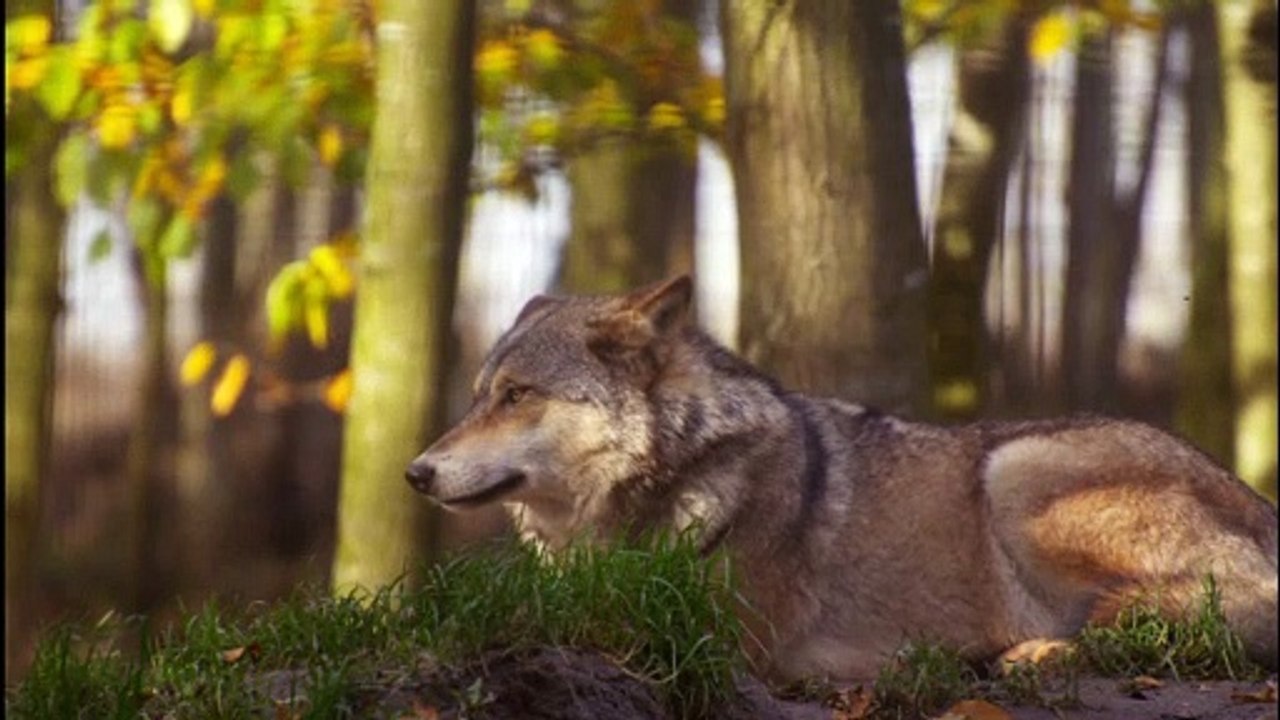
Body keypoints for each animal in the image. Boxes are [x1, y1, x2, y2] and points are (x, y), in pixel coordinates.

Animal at [405, 275, 1279, 681]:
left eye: (518, 396)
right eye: (479, 396)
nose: (415, 472)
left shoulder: (710, 633)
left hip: (1015, 469)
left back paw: (1029, 652)